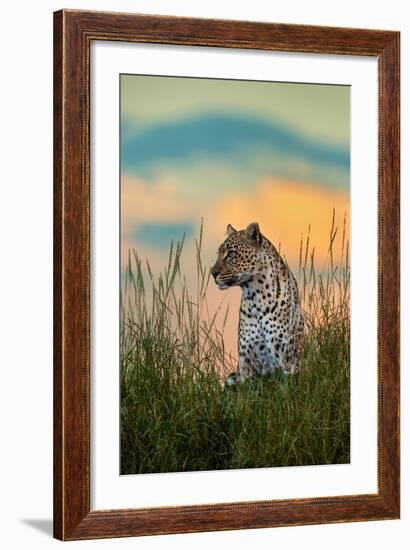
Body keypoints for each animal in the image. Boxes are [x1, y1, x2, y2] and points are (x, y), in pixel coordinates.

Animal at [211, 222, 304, 390]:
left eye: (231, 254)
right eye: (219, 253)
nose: (212, 273)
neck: (256, 298)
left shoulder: (285, 363)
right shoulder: (245, 364)